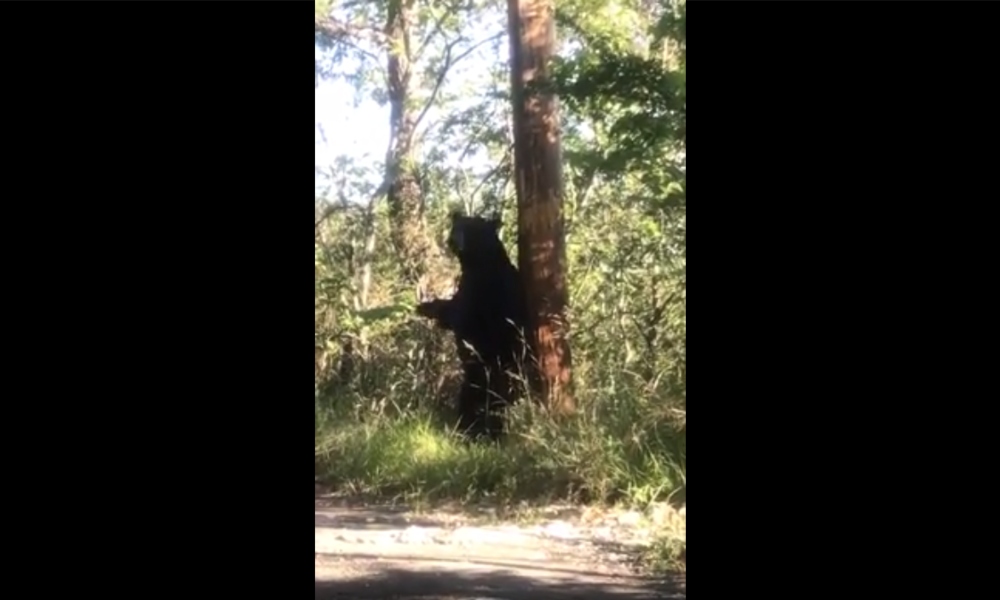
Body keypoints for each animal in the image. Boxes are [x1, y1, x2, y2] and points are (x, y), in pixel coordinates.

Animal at [418, 212, 532, 440]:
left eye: (471, 229)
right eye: (458, 226)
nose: (454, 240)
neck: (477, 264)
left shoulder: (482, 292)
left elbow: (459, 315)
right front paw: (424, 306)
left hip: (496, 372)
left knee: (490, 400)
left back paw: (481, 431)